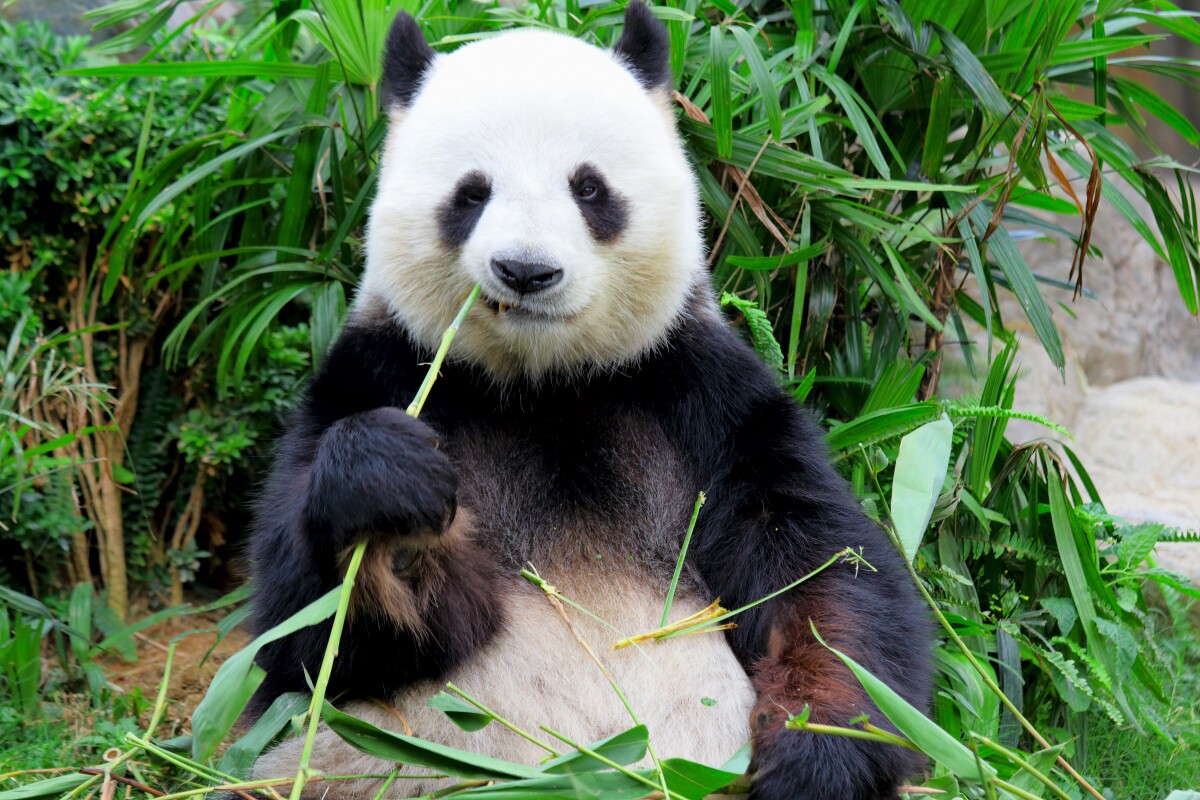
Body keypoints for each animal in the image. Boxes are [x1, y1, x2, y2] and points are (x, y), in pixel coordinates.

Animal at [247, 5, 931, 800]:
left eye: (589, 188)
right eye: (471, 193)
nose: (526, 271)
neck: (544, 384)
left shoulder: (699, 391)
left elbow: (820, 571)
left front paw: (817, 756)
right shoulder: (379, 371)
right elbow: (309, 639)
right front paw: (390, 502)